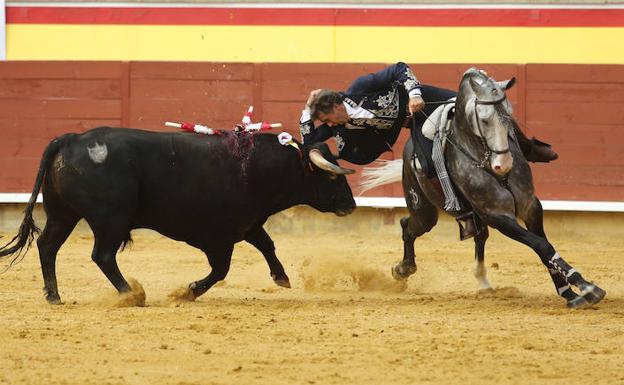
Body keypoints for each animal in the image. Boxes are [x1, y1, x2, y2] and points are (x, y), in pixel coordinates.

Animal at [0, 127, 354, 302]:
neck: (256, 168)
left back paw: (53, 295)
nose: (350, 205)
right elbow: (221, 270)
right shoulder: (219, 237)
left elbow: (267, 245)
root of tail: (71, 139)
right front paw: (189, 291)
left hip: (64, 213)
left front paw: (281, 277)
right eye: (331, 177)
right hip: (110, 217)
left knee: (48, 245)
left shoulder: (248, 224)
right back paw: (130, 294)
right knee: (102, 255)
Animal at [364, 68, 608, 308]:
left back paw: (481, 280)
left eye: (509, 116)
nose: (504, 165)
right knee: (408, 224)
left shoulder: (530, 206)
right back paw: (402, 269)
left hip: (469, 214)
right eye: (484, 119)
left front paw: (569, 292)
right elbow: (542, 245)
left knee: (478, 235)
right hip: (424, 209)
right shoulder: (498, 216)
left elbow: (544, 246)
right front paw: (588, 288)